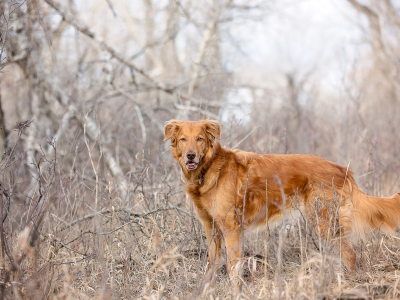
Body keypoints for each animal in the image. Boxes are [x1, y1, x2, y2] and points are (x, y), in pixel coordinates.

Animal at [163, 119, 400, 276]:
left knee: (350, 254)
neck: (209, 169)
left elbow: (233, 266)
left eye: (199, 139)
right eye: (183, 139)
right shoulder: (210, 226)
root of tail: (342, 169)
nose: (190, 155)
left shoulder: (231, 226)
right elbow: (213, 262)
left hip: (323, 221)